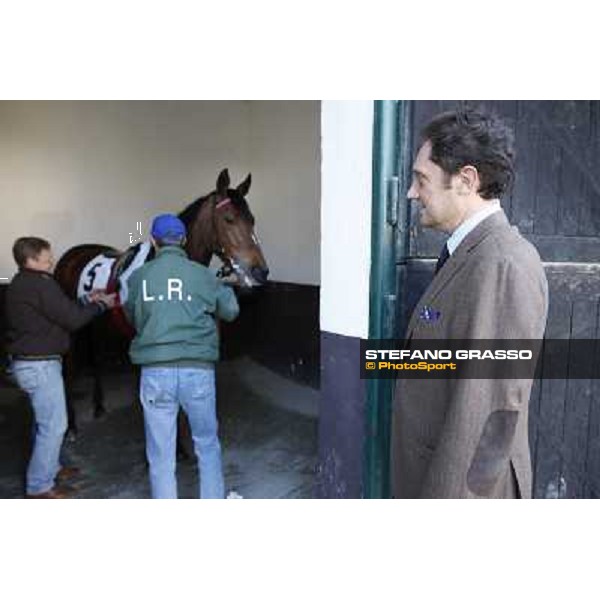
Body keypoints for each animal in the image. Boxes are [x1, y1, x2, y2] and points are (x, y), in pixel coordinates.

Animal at [54, 170, 270, 440]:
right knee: (68, 370)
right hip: (69, 329)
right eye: (229, 219)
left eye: (252, 220)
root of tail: (71, 255)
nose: (260, 271)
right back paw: (71, 426)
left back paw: (99, 406)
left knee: (94, 359)